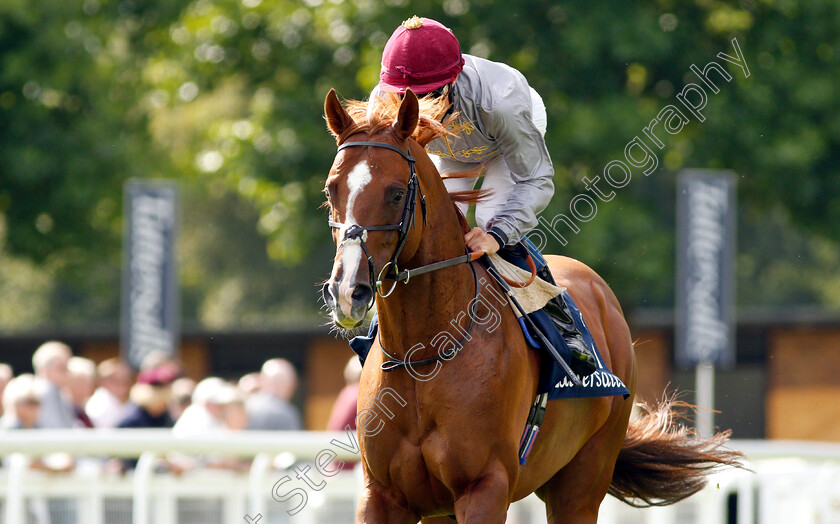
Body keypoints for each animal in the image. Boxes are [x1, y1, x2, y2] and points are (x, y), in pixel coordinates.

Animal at [322, 88, 740, 520]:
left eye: (396, 193)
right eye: (331, 190)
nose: (347, 292)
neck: (424, 353)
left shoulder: (485, 486)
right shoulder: (383, 495)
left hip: (582, 482)